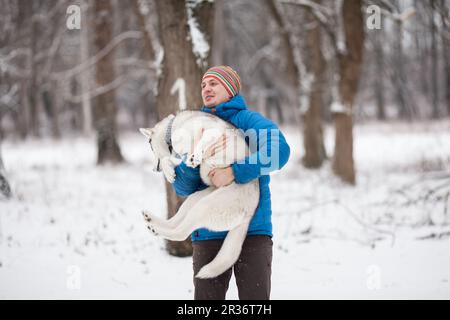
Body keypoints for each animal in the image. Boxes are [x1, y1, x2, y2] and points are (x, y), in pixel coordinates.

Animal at [141, 111, 260, 278]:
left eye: (151, 147)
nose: (154, 169)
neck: (172, 129)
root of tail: (251, 212)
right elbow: (173, 159)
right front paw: (170, 170)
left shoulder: (212, 132)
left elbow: (197, 145)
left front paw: (192, 157)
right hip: (195, 199)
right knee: (175, 222)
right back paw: (151, 221)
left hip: (205, 206)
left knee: (181, 232)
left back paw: (156, 228)